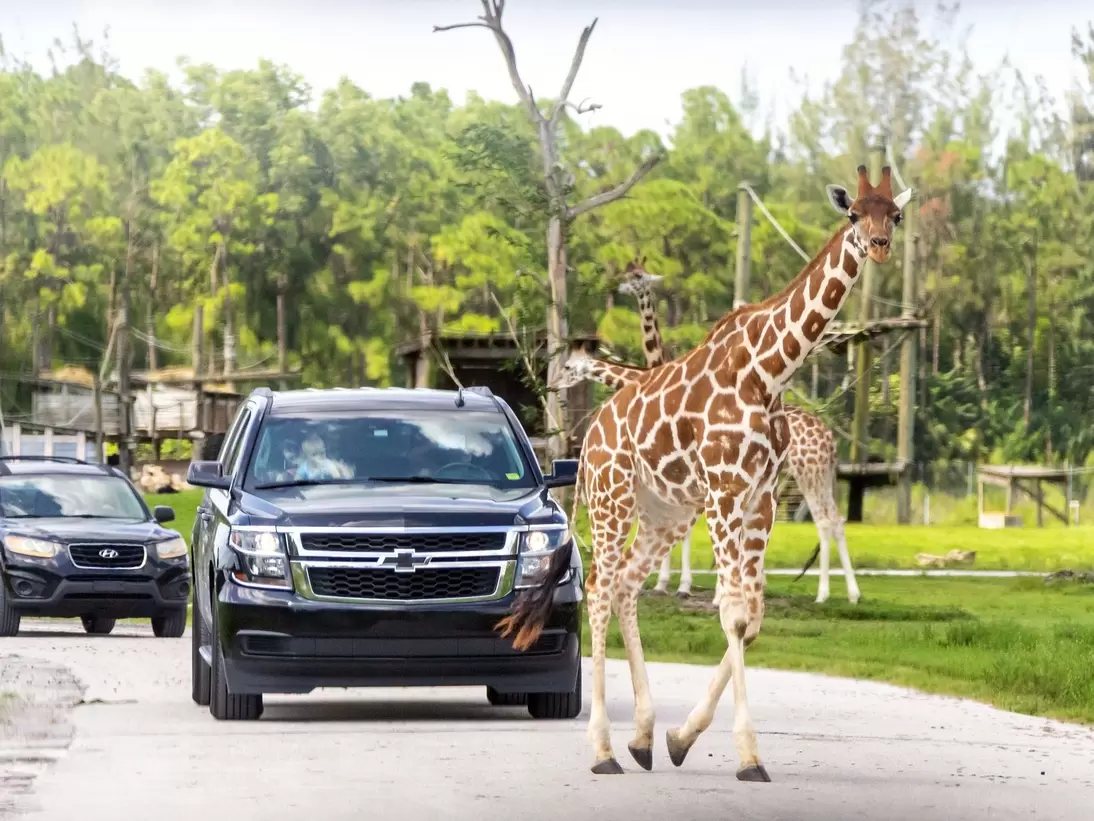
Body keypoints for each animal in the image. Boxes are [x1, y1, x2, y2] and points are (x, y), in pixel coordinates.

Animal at [605, 264, 861, 604]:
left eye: (636, 277)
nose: (615, 287)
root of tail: (830, 440)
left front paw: (680, 586)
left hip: (808, 473)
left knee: (824, 521)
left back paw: (822, 594)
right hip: (815, 476)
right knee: (836, 520)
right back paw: (850, 593)